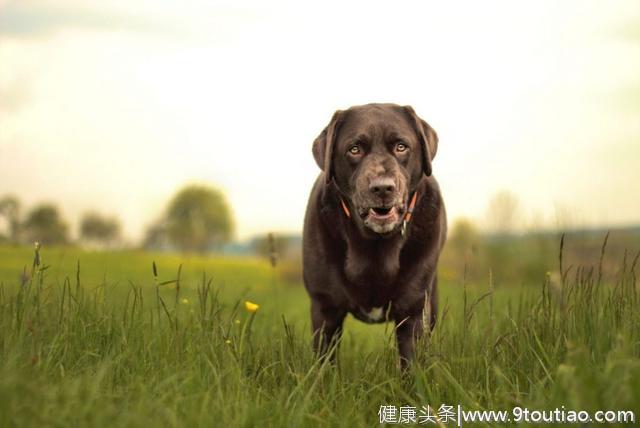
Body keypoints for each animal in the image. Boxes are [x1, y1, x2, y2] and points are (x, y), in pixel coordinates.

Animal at [304, 103, 444, 368]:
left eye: (401, 146)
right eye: (354, 149)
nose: (382, 188)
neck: (374, 245)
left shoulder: (414, 309)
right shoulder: (325, 307)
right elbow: (323, 365)